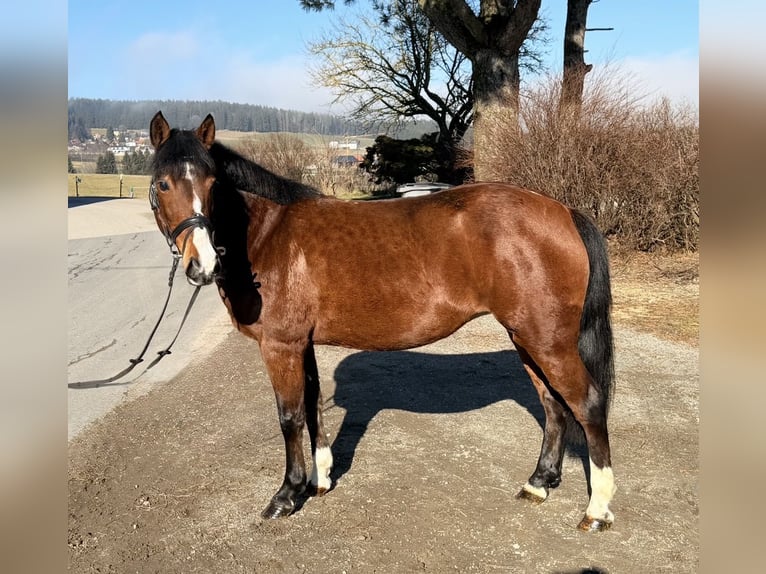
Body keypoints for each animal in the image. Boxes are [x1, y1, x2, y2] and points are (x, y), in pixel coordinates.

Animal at [148, 111, 616, 532]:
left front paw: (286, 495)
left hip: (548, 341)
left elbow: (290, 416)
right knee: (553, 405)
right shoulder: (303, 343)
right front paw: (320, 479)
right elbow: (314, 406)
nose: (202, 265)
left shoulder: (281, 346)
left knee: (587, 404)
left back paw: (596, 510)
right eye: (163, 183)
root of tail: (563, 211)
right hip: (527, 338)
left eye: (212, 184)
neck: (267, 234)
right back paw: (539, 482)